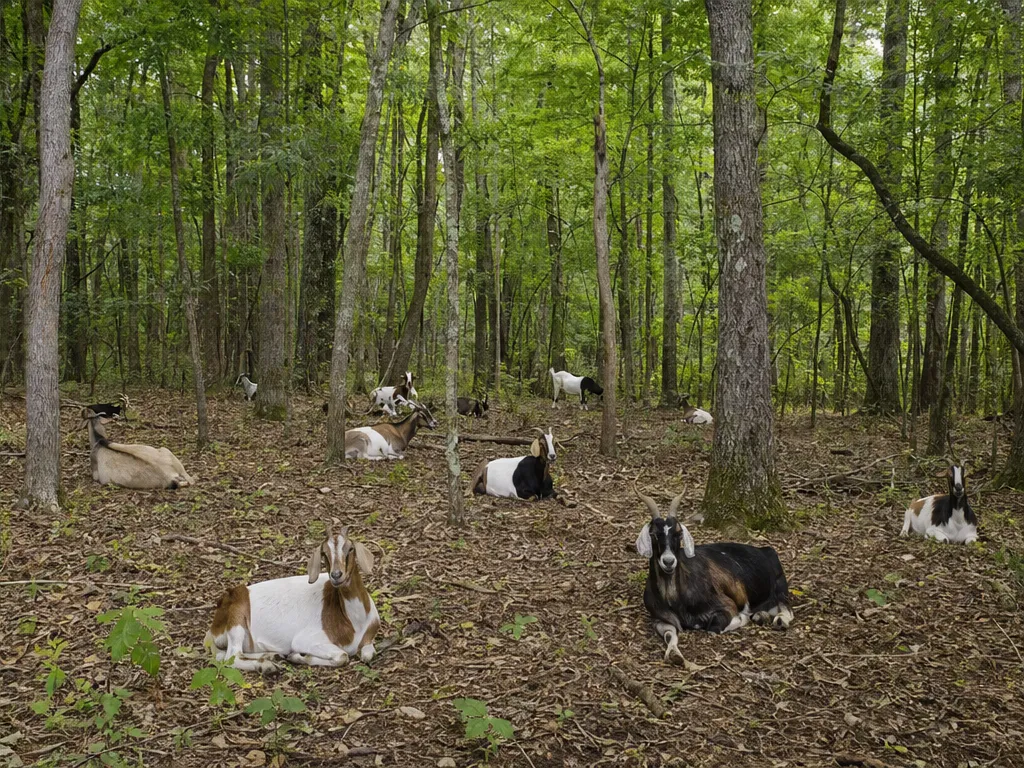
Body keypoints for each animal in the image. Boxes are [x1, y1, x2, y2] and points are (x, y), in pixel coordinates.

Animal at [205, 528, 379, 671]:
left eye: (350, 549)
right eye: (324, 553)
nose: (336, 575)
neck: (355, 622)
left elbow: (368, 654)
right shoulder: (305, 640)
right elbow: (342, 656)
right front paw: (297, 656)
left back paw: (271, 655)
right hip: (237, 619)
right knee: (231, 657)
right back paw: (267, 666)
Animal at [634, 487, 792, 663]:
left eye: (678, 533)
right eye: (653, 534)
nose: (668, 561)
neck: (676, 598)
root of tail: (766, 550)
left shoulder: (726, 605)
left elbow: (713, 627)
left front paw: (742, 618)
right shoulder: (659, 619)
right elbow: (670, 634)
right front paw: (675, 654)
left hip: (780, 588)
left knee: (786, 607)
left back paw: (780, 620)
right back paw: (761, 616)